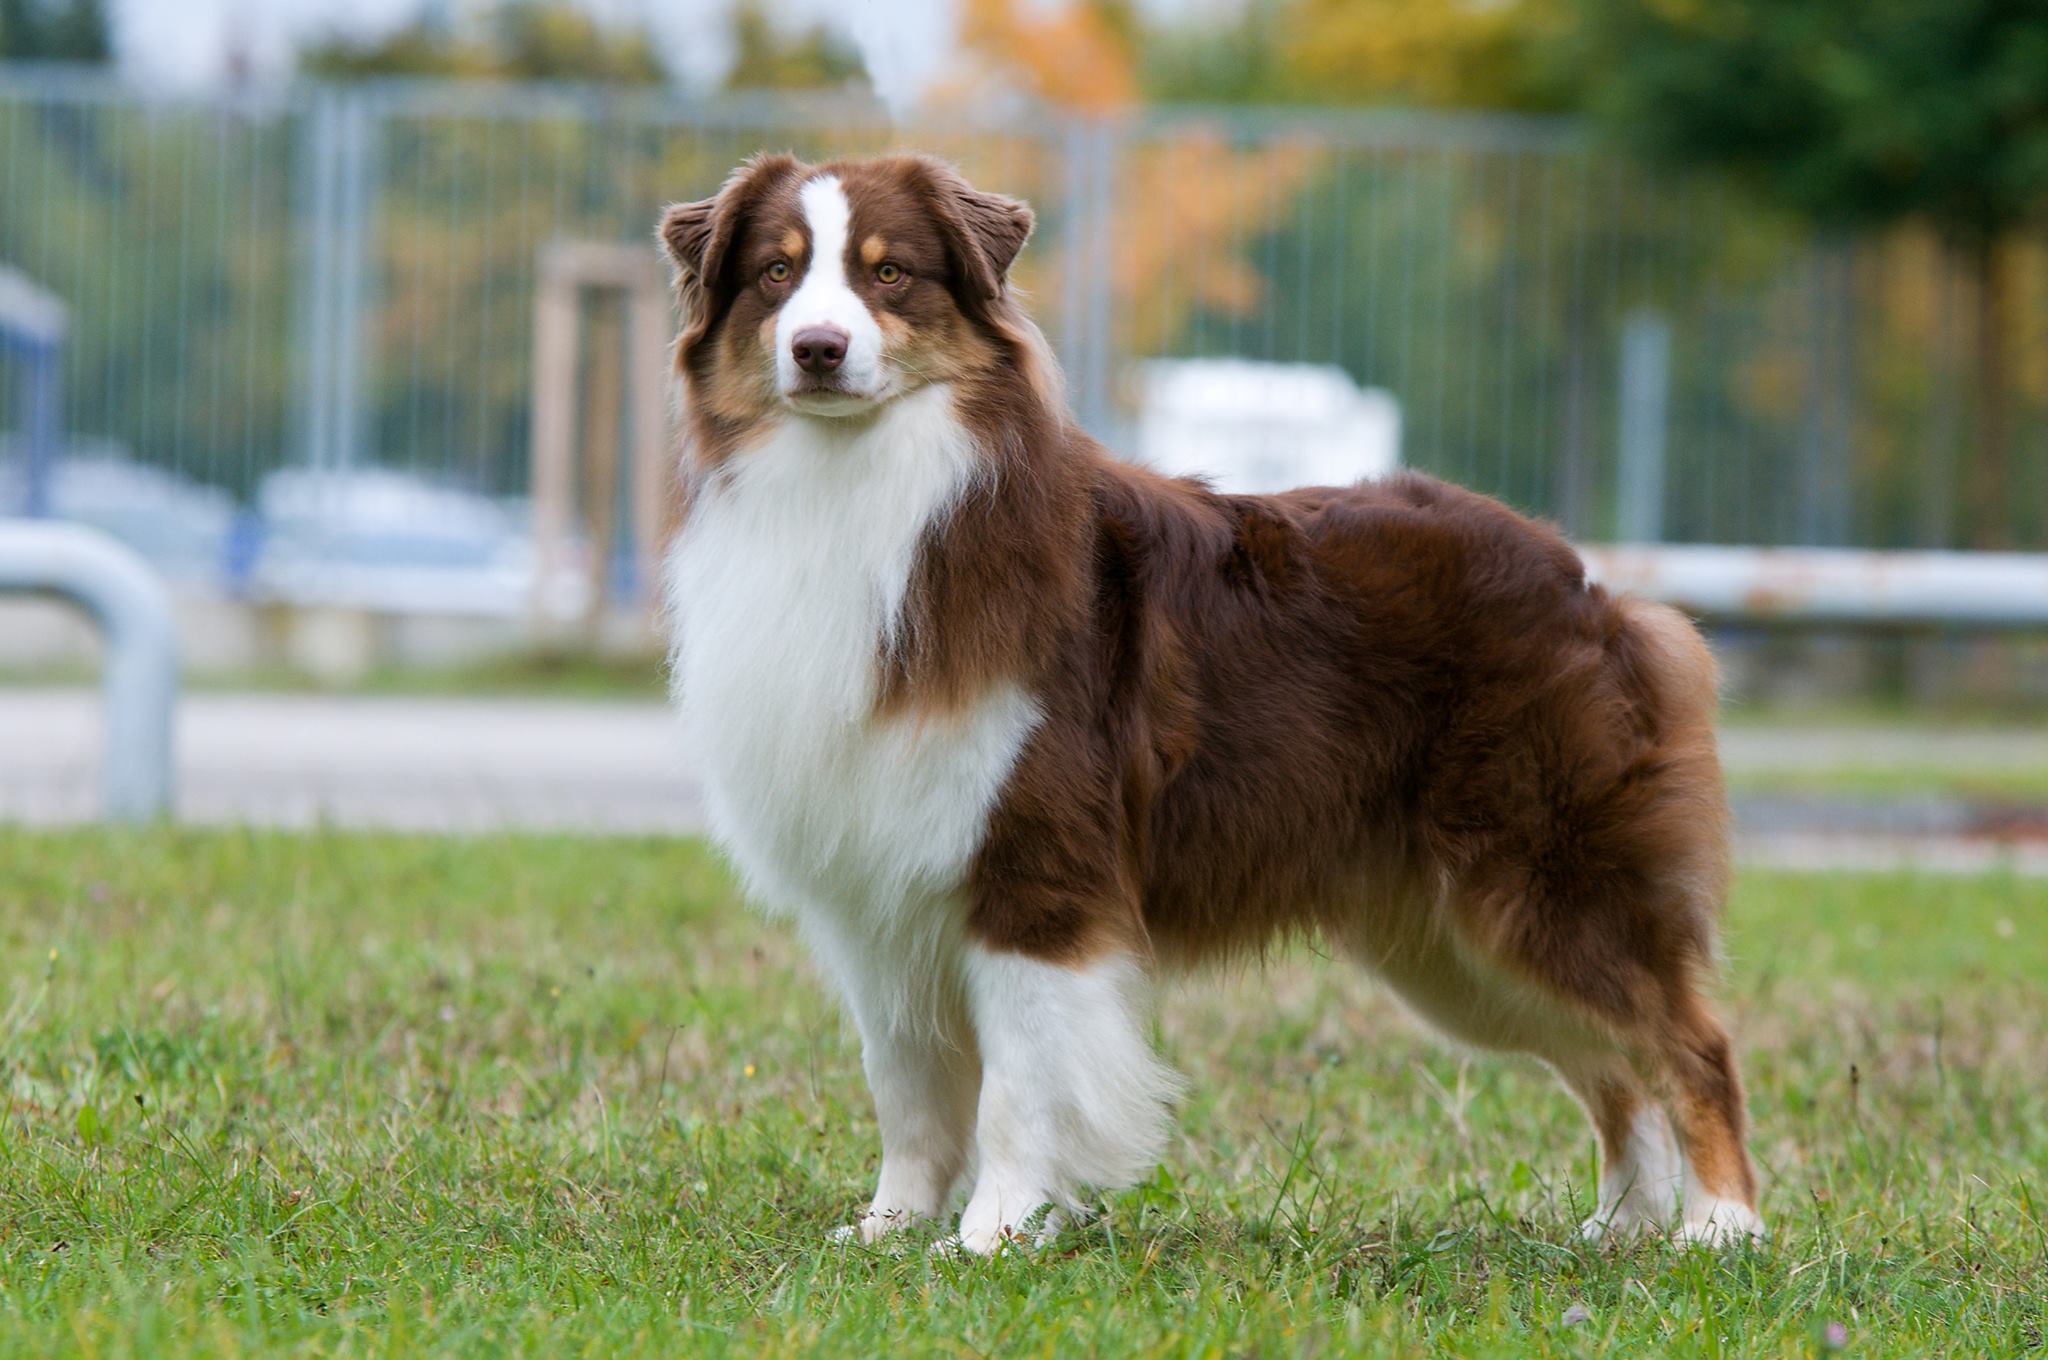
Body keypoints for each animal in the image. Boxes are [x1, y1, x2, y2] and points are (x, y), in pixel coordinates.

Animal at [655, 151, 1761, 1253]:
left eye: (889, 275)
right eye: (776, 274)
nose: (818, 349)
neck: (858, 483)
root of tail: (1588, 580)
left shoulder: (1035, 870)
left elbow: (1019, 1081)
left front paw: (992, 1235)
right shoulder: (877, 899)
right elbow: (907, 1086)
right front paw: (890, 1229)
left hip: (1545, 885)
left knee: (1688, 1042)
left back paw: (1720, 1229)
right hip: (1454, 949)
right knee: (1612, 1067)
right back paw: (1619, 1229)